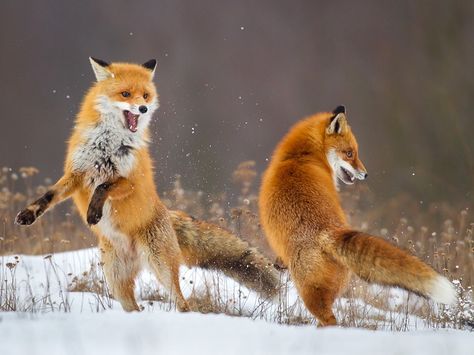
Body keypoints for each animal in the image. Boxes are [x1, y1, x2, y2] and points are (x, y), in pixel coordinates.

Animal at [16, 57, 280, 312]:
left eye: (145, 96)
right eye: (125, 94)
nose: (143, 108)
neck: (107, 146)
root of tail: (166, 213)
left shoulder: (131, 181)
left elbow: (104, 187)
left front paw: (94, 212)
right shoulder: (77, 174)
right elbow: (49, 196)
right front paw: (28, 215)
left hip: (160, 266)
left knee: (183, 304)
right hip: (116, 281)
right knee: (134, 307)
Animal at [262, 106, 458, 328]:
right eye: (349, 153)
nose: (365, 175)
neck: (301, 156)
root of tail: (328, 231)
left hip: (309, 293)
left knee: (329, 320)